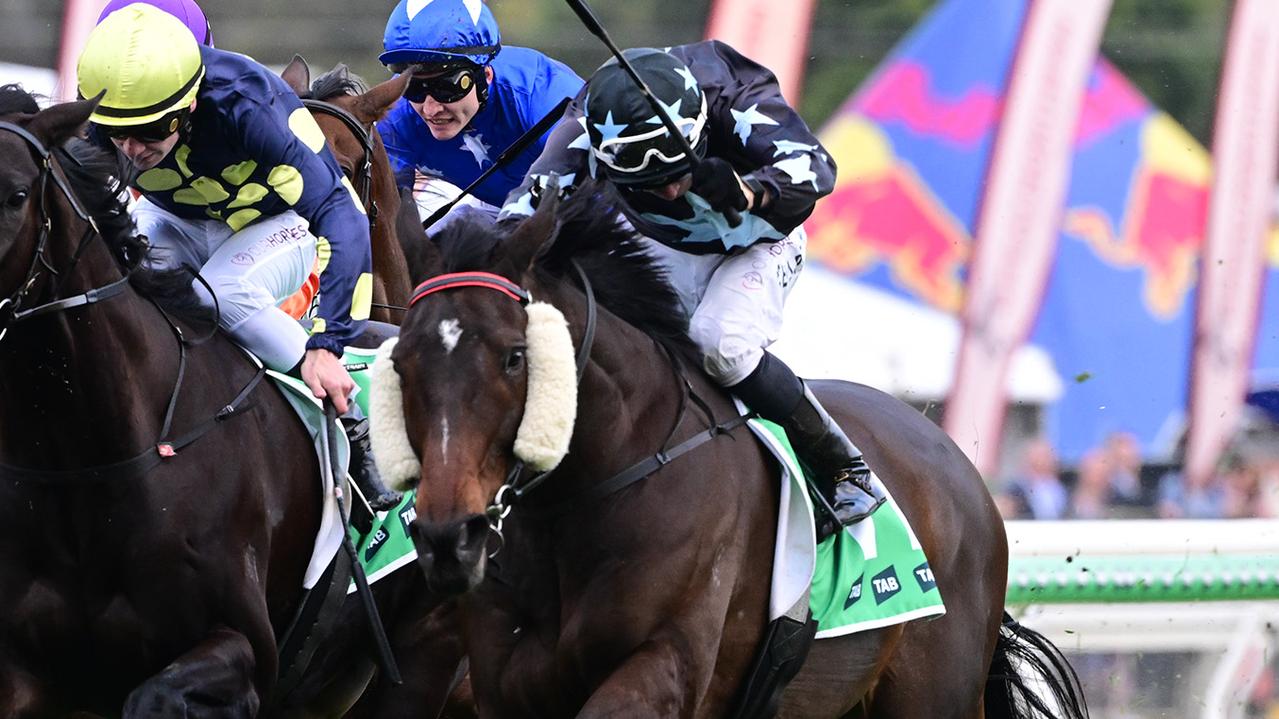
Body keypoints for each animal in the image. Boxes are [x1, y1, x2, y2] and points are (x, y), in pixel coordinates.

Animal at [376, 186, 1088, 718]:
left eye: (514, 356)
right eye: (402, 363)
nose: (447, 537)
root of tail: (958, 465)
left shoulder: (665, 666)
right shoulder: (504, 681)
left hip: (932, 695)